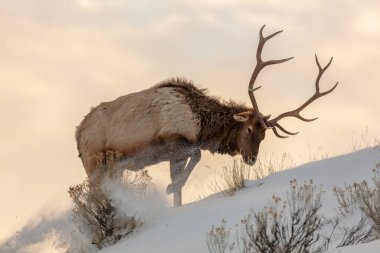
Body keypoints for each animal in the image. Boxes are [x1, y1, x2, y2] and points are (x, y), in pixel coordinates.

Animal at [75, 25, 336, 207]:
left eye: (264, 136)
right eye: (249, 129)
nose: (251, 159)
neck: (202, 125)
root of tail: (77, 134)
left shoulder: (175, 156)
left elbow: (181, 188)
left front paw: (174, 193)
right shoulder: (170, 140)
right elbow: (197, 155)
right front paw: (169, 187)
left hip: (111, 168)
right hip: (94, 163)